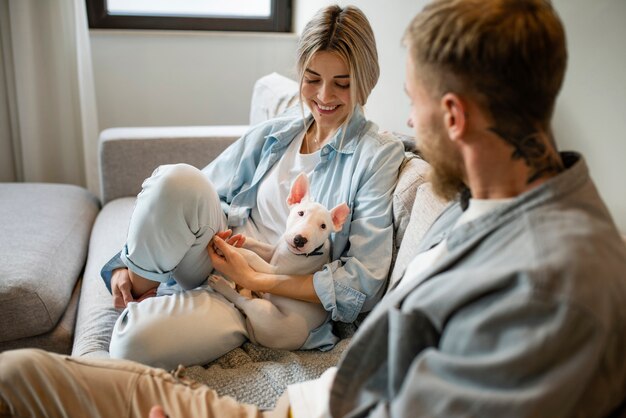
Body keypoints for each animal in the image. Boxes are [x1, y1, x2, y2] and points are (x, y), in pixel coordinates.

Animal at [207, 171, 348, 352]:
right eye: (300, 213)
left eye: (323, 226)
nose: (300, 240)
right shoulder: (272, 251)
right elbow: (255, 245)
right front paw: (235, 239)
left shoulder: (273, 271)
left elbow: (251, 256)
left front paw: (231, 249)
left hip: (263, 311)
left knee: (243, 302)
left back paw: (221, 285)